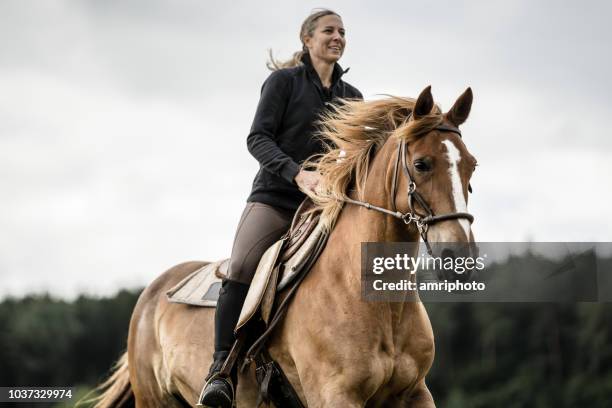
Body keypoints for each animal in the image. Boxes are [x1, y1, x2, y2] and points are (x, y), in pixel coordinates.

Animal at [92, 84, 478, 406]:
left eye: (471, 167)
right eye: (421, 164)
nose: (458, 257)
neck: (377, 301)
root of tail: (153, 292)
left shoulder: (414, 394)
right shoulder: (335, 395)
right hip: (155, 400)